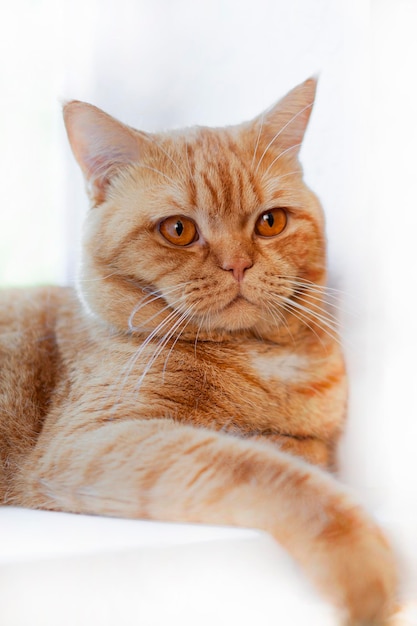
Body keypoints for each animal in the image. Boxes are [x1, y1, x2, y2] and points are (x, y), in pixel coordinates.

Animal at [0, 78, 396, 620]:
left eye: (270, 222)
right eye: (178, 230)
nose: (238, 265)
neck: (255, 360)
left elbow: (302, 450)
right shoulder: (90, 441)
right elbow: (266, 470)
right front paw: (365, 571)